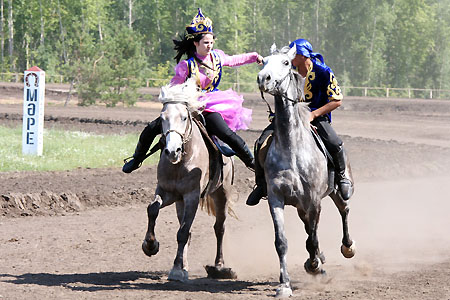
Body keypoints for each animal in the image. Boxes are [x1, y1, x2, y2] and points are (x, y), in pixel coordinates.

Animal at [142, 79, 236, 282]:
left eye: (184, 117)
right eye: (162, 118)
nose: (172, 151)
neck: (181, 162)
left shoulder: (192, 196)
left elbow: (183, 232)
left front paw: (177, 270)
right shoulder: (167, 192)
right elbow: (153, 209)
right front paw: (150, 245)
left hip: (222, 193)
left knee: (219, 228)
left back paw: (219, 266)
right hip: (180, 203)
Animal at [258, 45, 356, 298]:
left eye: (285, 62)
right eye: (263, 61)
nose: (263, 79)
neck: (292, 147)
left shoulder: (313, 199)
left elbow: (311, 239)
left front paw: (314, 265)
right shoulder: (276, 197)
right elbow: (282, 242)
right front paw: (284, 285)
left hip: (333, 192)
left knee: (343, 209)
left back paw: (347, 247)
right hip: (302, 205)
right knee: (309, 228)